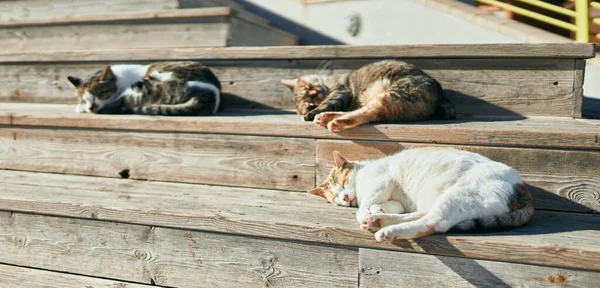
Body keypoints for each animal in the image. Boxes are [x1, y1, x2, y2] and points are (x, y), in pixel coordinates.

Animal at [67, 61, 223, 115]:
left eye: (101, 94)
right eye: (84, 100)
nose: (90, 107)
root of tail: (210, 95)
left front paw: (81, 108)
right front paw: (81, 107)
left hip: (145, 85)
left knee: (123, 104)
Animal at [282, 60, 454, 133]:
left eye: (309, 87)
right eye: (309, 99)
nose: (316, 91)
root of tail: (442, 98)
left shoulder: (342, 90)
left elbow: (329, 101)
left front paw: (312, 112)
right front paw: (312, 111)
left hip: (394, 94)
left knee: (370, 112)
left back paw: (333, 121)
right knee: (369, 112)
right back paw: (325, 117)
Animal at [310, 147, 536, 242]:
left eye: (342, 182)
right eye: (335, 198)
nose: (345, 198)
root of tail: (522, 187)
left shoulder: (382, 182)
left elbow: (364, 206)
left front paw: (367, 211)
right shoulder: (395, 199)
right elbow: (391, 205)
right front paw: (377, 210)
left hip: (458, 195)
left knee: (433, 222)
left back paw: (386, 229)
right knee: (422, 215)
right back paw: (378, 220)